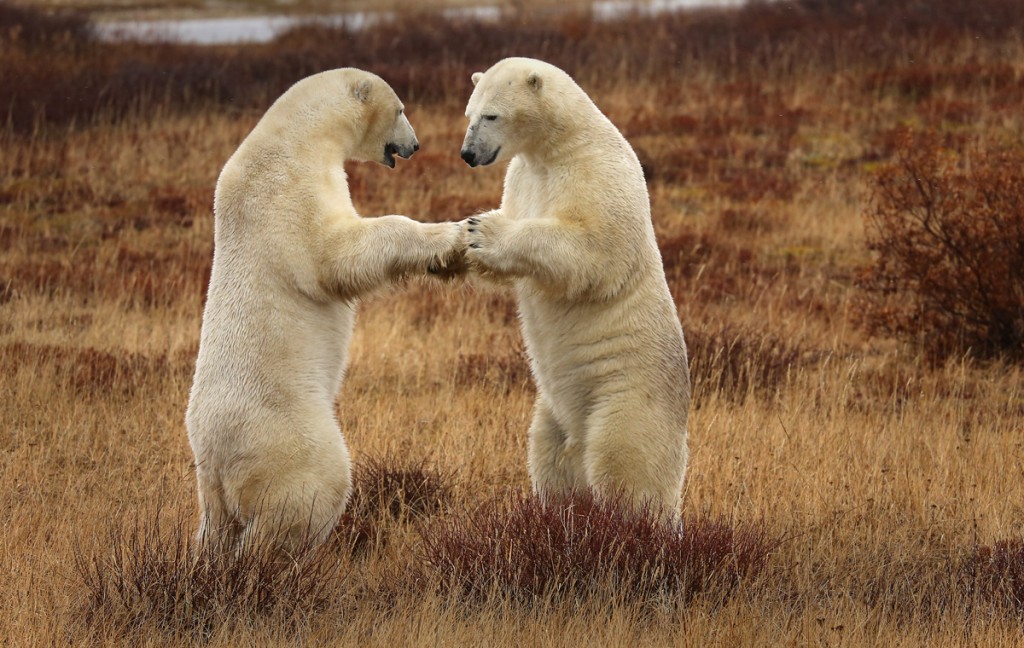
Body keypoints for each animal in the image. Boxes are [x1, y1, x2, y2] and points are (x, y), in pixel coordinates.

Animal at [185, 68, 462, 553]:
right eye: (402, 109)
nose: (415, 145)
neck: (295, 136)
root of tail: (217, 459)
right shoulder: (289, 189)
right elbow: (334, 254)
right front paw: (449, 234)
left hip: (209, 477)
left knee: (213, 529)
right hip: (284, 437)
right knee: (309, 489)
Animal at [458, 57, 691, 518]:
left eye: (492, 115)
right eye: (469, 114)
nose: (468, 154)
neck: (559, 143)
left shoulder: (596, 175)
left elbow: (591, 249)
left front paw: (484, 231)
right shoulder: (521, 177)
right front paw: (462, 234)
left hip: (626, 392)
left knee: (628, 464)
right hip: (551, 411)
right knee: (548, 458)